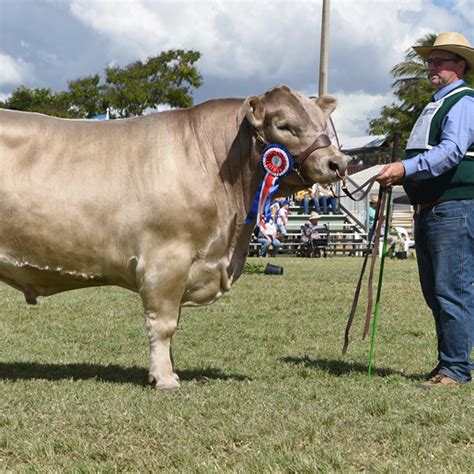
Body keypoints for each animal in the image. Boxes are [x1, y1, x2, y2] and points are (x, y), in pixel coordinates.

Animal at [0, 85, 348, 388]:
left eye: (322, 124)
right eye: (284, 125)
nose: (339, 163)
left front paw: (168, 370)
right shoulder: (167, 258)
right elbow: (164, 324)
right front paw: (165, 379)